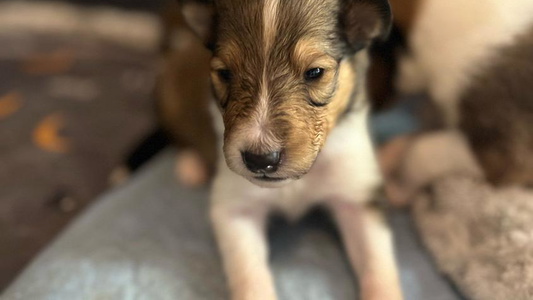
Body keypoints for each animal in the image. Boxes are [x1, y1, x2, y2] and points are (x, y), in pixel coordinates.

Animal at [172, 0, 402, 298]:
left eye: (315, 72)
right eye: (225, 73)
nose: (260, 160)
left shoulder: (358, 198)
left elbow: (378, 266)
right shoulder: (235, 208)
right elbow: (249, 276)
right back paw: (190, 166)